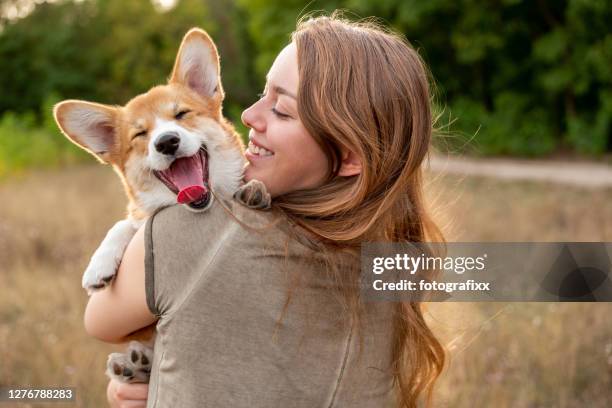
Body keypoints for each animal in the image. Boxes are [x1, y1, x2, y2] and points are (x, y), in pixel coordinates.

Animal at [53, 27, 268, 382]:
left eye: (181, 114)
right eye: (140, 135)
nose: (167, 142)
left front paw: (255, 190)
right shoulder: (139, 217)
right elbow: (124, 223)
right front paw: (98, 266)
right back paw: (133, 365)